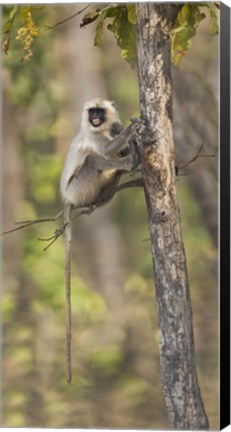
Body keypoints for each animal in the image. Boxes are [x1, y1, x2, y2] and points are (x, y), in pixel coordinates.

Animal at [60, 99, 141, 384]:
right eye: (91, 112)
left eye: (99, 112)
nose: (95, 117)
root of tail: (69, 198)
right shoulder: (93, 135)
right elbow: (103, 149)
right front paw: (132, 130)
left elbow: (114, 137)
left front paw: (126, 133)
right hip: (80, 186)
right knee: (95, 158)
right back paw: (131, 163)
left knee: (110, 168)